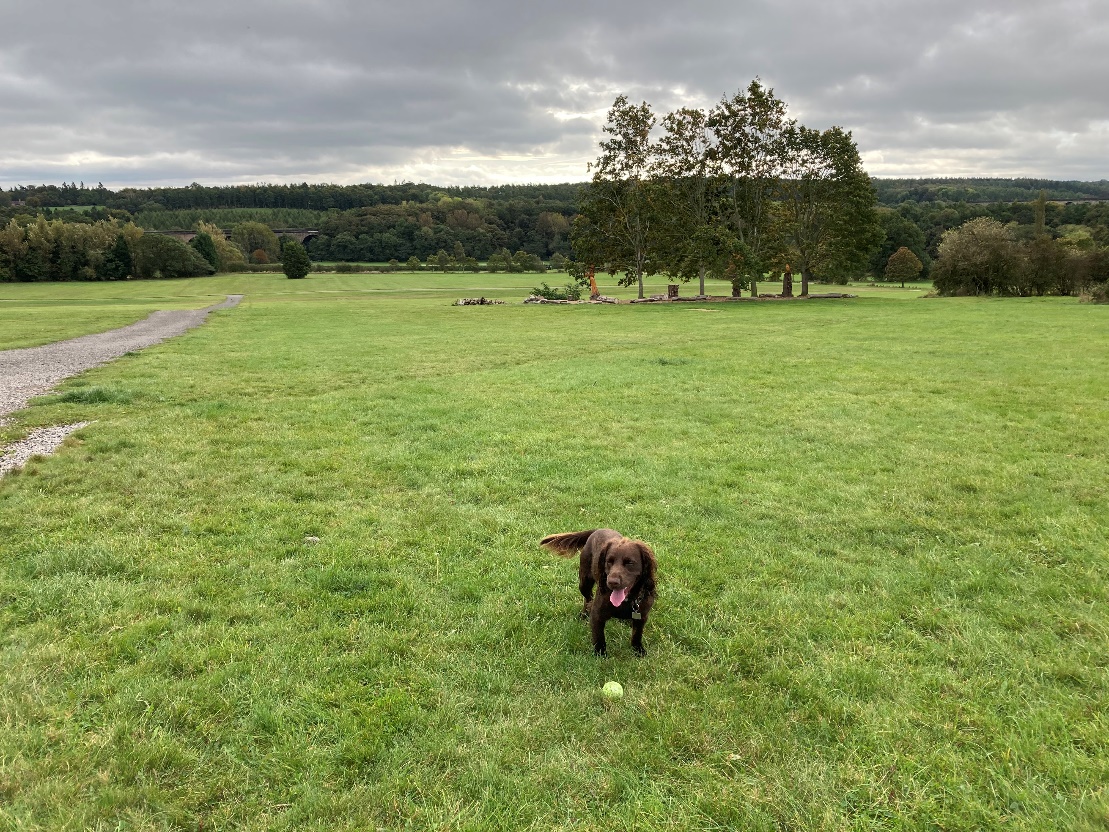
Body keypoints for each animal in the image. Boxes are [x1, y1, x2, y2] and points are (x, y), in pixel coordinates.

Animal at [543, 528, 656, 656]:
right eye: (609, 561)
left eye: (629, 563)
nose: (612, 582)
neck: (627, 600)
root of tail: (599, 529)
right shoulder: (597, 615)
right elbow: (599, 636)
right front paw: (600, 654)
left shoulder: (642, 616)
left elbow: (637, 634)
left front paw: (638, 650)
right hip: (584, 582)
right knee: (588, 598)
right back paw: (584, 614)